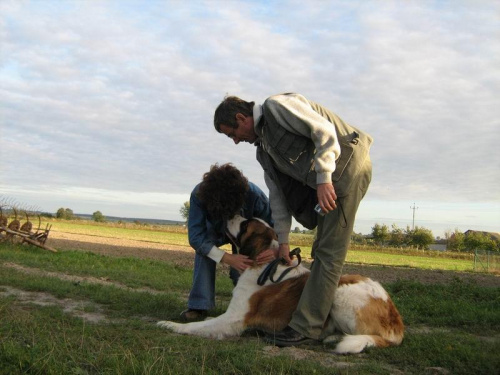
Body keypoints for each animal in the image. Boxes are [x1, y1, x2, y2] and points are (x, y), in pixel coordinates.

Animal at [158, 216, 404, 354]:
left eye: (245, 224)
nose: (229, 213)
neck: (263, 261)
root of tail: (396, 323)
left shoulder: (234, 318)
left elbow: (197, 326)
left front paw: (171, 325)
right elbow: (207, 321)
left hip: (341, 293)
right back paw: (333, 337)